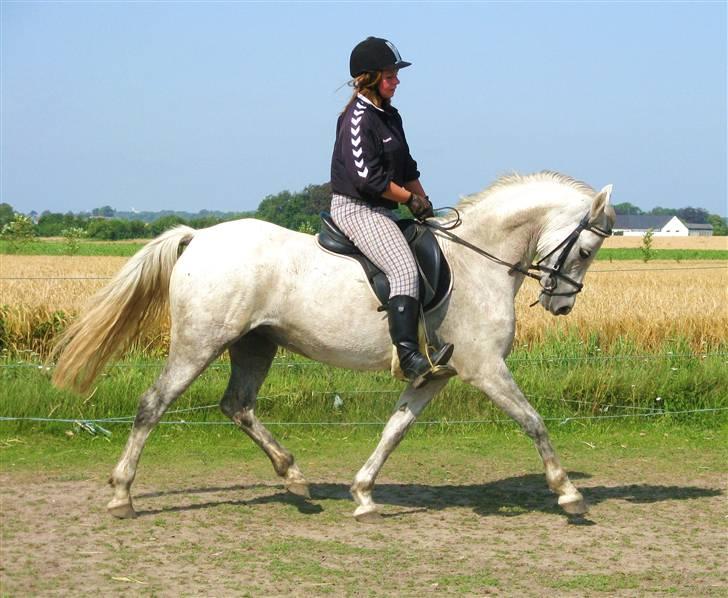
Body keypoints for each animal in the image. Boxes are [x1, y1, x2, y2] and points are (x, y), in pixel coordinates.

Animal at [52, 170, 615, 521]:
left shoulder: (434, 375)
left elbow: (394, 430)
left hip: (255, 345)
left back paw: (294, 478)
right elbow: (533, 422)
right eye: (587, 249)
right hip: (199, 342)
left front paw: (363, 494)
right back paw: (122, 495)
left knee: (238, 405)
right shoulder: (486, 368)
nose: (562, 304)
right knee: (154, 404)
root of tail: (201, 237)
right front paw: (569, 493)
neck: (480, 261)